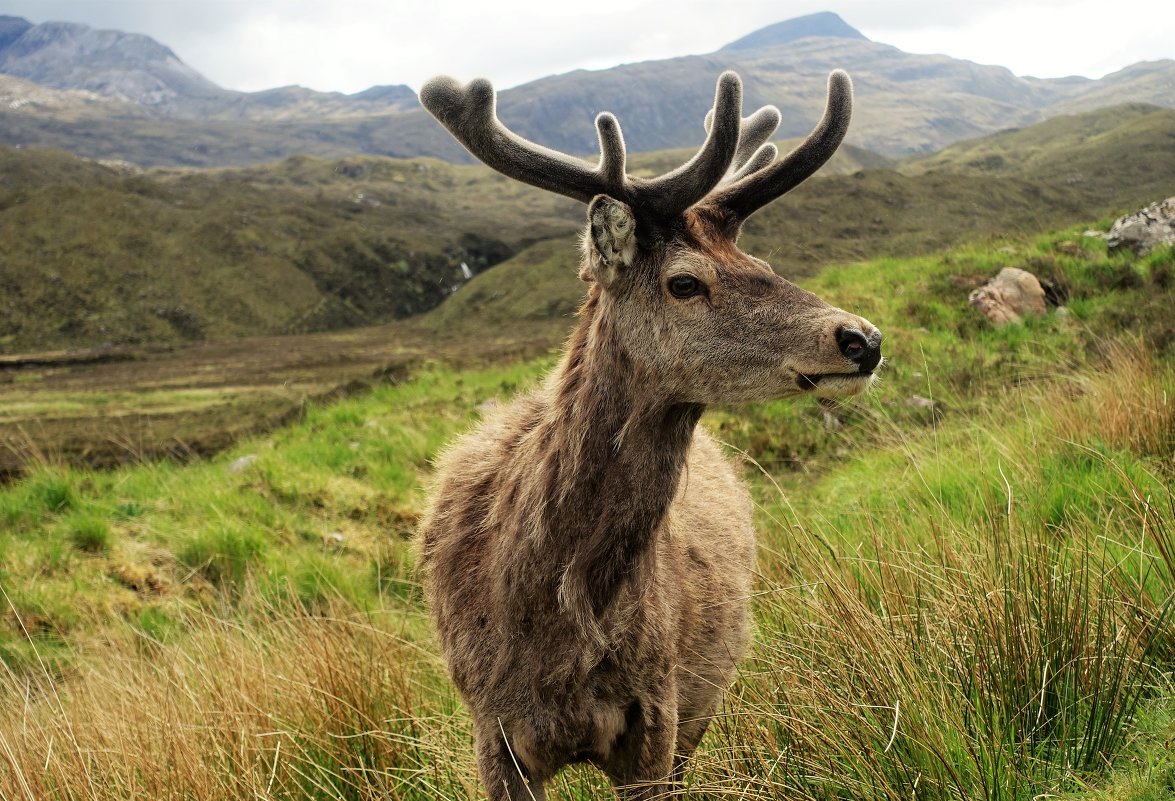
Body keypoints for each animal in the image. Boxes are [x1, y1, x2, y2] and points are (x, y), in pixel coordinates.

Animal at [418, 70, 883, 798]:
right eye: (684, 281)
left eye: (760, 259)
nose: (861, 337)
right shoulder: (490, 727)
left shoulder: (658, 709)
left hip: (705, 695)